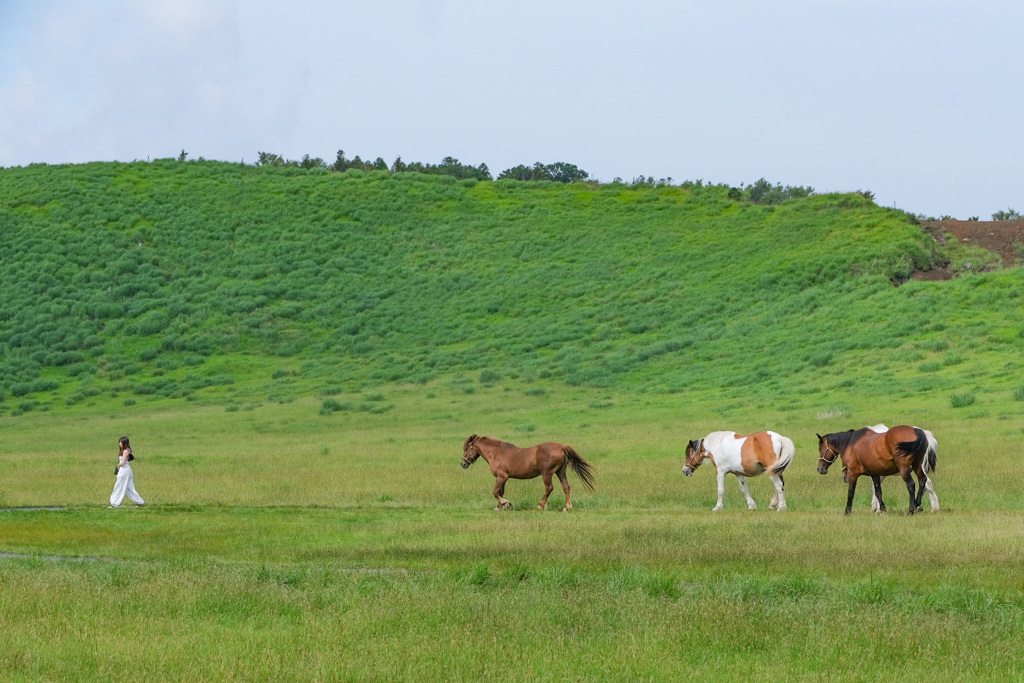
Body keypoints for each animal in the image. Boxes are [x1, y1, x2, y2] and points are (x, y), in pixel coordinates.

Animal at [462, 436, 598, 509]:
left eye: (466, 448)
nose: (463, 463)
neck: (497, 454)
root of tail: (561, 447)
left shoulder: (502, 477)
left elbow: (495, 492)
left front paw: (505, 503)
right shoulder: (503, 478)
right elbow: (500, 492)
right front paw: (500, 506)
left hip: (547, 473)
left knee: (549, 488)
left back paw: (541, 505)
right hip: (560, 472)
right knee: (566, 487)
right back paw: (567, 507)